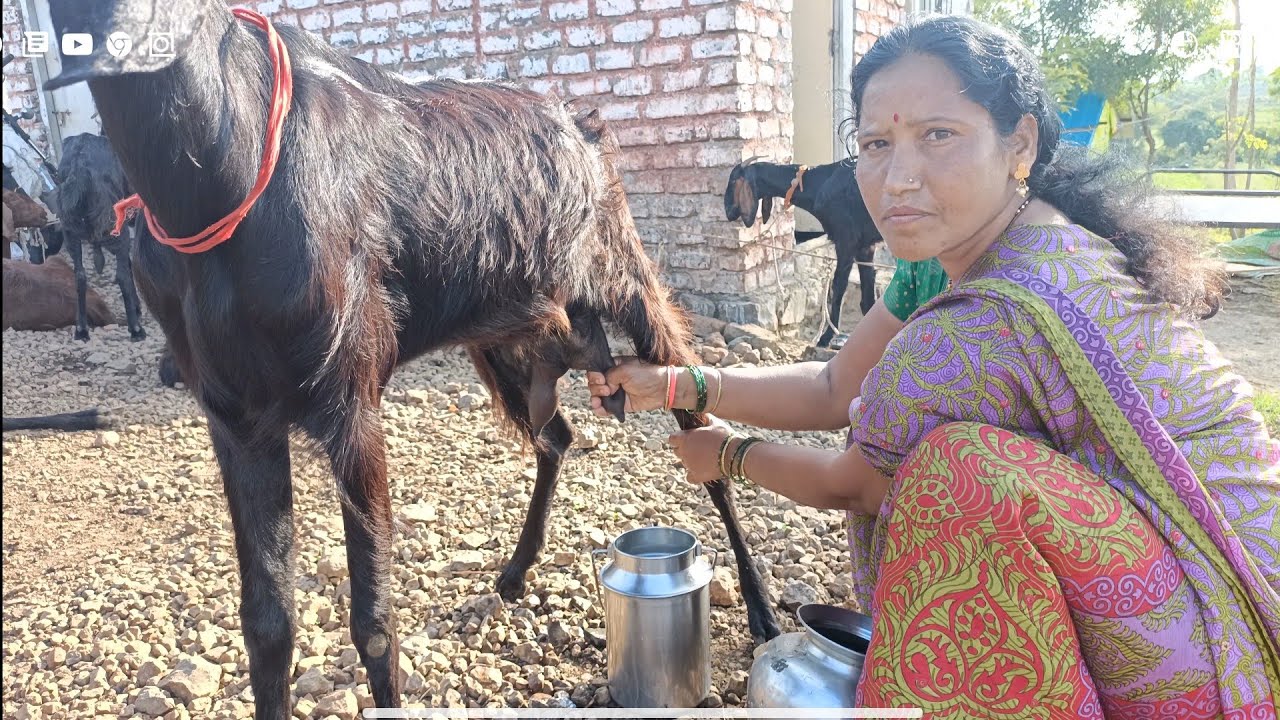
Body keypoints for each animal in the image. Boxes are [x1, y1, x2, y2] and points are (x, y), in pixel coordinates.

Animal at [49, 133, 147, 341]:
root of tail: (79, 167)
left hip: (70, 233)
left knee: (80, 276)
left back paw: (81, 329)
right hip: (116, 228)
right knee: (122, 276)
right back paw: (136, 329)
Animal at [724, 158, 882, 347]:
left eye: (733, 180)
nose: (728, 211)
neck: (818, 183)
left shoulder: (846, 241)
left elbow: (839, 287)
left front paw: (826, 337)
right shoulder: (865, 246)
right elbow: (868, 295)